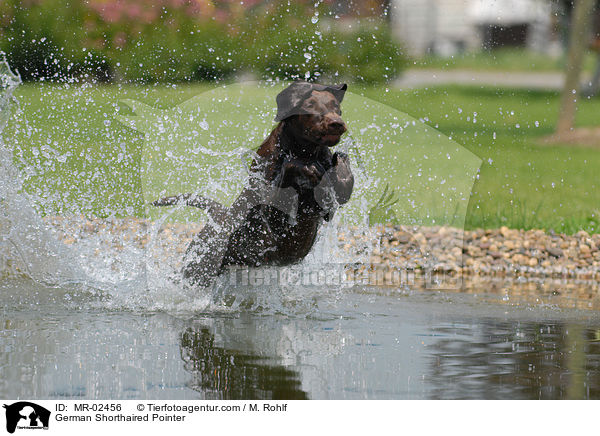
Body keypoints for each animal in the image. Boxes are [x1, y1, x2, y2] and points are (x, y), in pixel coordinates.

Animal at [152, 81, 354, 286]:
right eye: (310, 106)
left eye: (336, 106)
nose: (337, 123)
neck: (304, 151)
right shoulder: (271, 212)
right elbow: (291, 169)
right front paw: (308, 168)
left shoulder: (327, 208)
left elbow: (340, 180)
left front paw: (339, 167)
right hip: (200, 270)